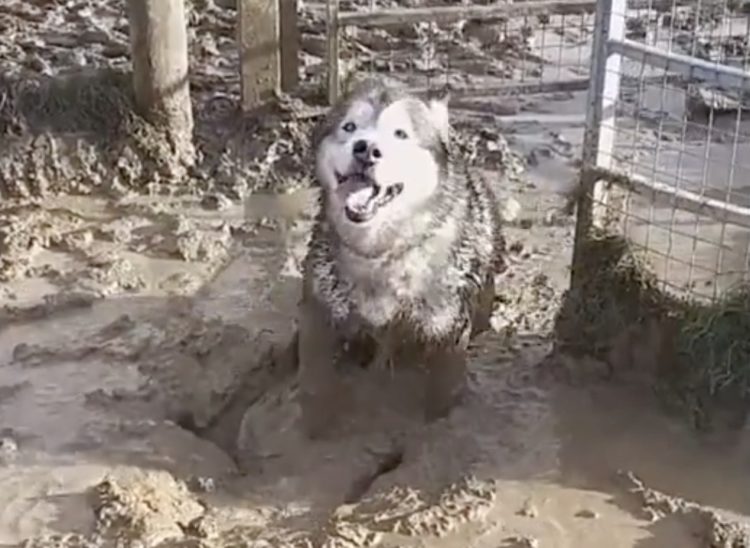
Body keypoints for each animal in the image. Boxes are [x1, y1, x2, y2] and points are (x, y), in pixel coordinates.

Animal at [295, 78, 506, 438]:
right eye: (349, 127)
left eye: (400, 134)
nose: (366, 149)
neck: (381, 252)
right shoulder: (321, 312)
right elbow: (316, 379)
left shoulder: (447, 333)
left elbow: (441, 398)